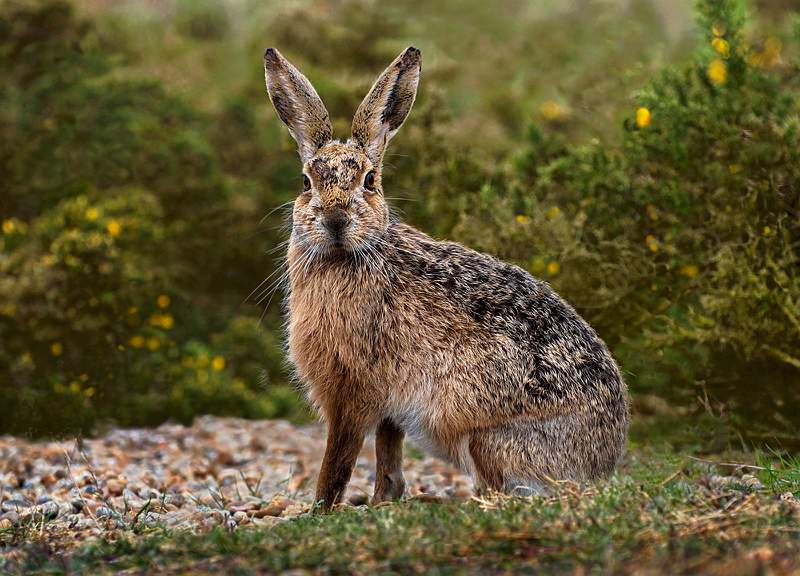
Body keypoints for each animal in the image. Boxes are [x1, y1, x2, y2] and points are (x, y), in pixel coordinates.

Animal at [262, 46, 629, 510]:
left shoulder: (350, 391)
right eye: (305, 181)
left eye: (369, 180)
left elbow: (338, 463)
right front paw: (383, 502)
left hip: (482, 437)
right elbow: (388, 457)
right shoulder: (387, 405)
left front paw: (319, 511)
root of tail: (600, 462)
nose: (335, 219)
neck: (353, 254)